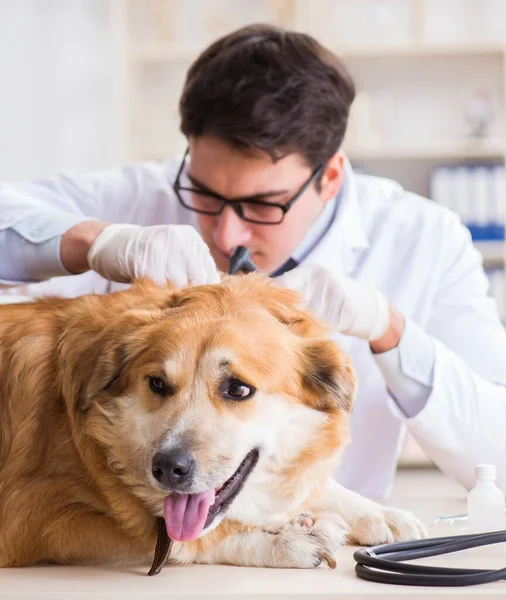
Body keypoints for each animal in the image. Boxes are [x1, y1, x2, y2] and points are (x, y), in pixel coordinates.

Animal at [0, 274, 424, 568]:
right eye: (157, 384)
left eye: (238, 388)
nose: (167, 468)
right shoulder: (33, 518)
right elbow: (175, 541)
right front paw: (283, 539)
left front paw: (377, 512)